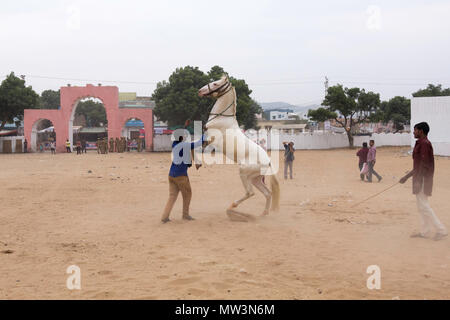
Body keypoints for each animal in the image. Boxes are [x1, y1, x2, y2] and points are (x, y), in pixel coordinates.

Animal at [199, 75, 280, 220]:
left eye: (215, 84)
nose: (200, 91)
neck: (221, 118)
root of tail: (268, 161)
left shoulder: (211, 140)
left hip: (244, 173)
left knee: (250, 193)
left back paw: (233, 206)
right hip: (255, 179)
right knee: (267, 193)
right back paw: (263, 214)